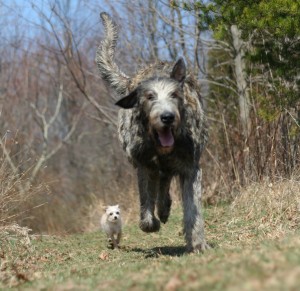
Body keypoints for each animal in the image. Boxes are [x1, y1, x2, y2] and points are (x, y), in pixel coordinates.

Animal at [96, 12, 209, 253]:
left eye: (175, 94)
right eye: (149, 97)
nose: (167, 117)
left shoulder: (191, 166)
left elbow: (192, 208)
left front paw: (197, 242)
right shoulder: (143, 164)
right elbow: (145, 204)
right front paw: (151, 222)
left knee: (166, 182)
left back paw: (165, 208)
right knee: (160, 184)